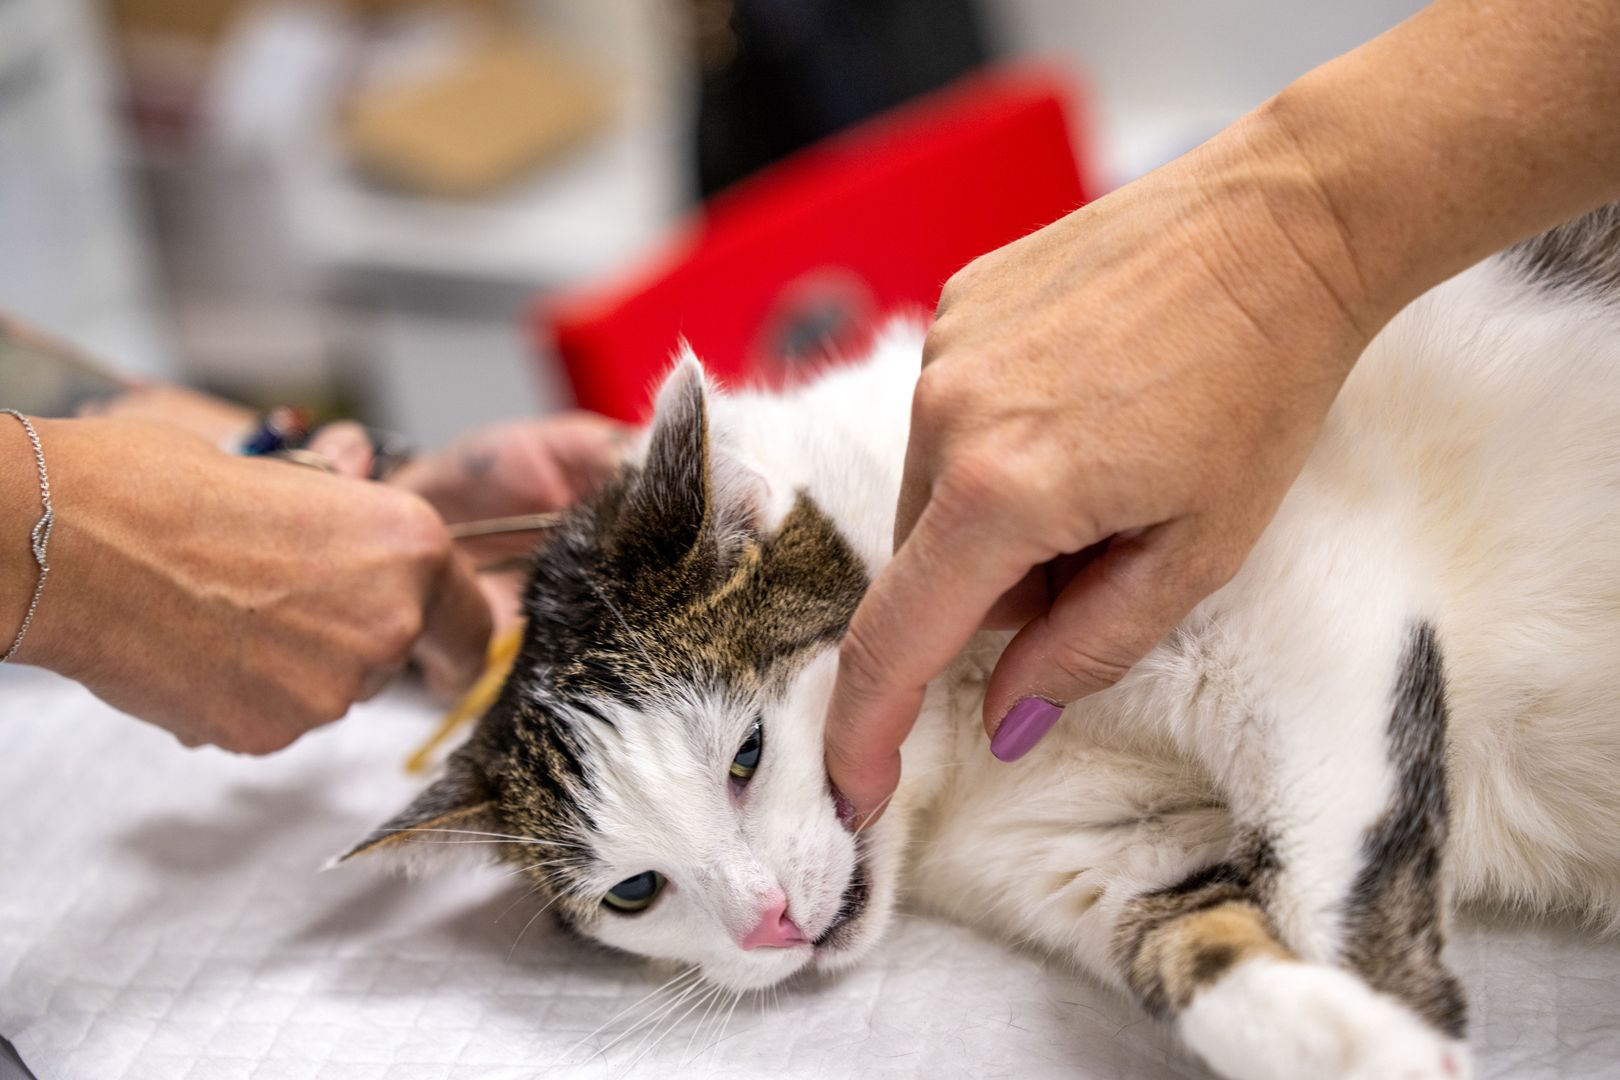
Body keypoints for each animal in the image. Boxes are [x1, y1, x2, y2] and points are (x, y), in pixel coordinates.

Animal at [338, 204, 1620, 1080]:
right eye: (635, 892)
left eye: (747, 756)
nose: (768, 923)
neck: (957, 777)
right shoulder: (1105, 849)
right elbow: (1195, 945)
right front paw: (1348, 1035)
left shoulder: (1281, 594)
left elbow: (1334, 856)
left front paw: (1381, 996)